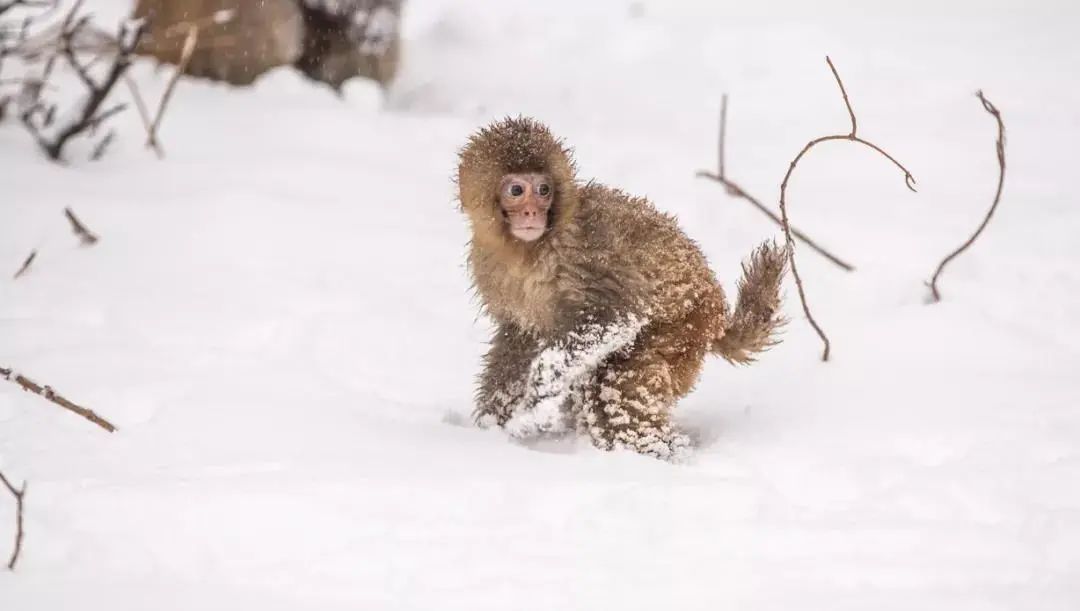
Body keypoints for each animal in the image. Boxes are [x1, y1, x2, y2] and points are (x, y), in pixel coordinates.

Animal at [455, 117, 786, 462]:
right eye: (517, 190)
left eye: (544, 190)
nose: (533, 212)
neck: (529, 250)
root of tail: (717, 313)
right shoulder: (488, 265)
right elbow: (519, 338)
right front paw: (495, 422)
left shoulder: (586, 251)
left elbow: (616, 314)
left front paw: (538, 397)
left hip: (684, 329)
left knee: (613, 388)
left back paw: (667, 453)